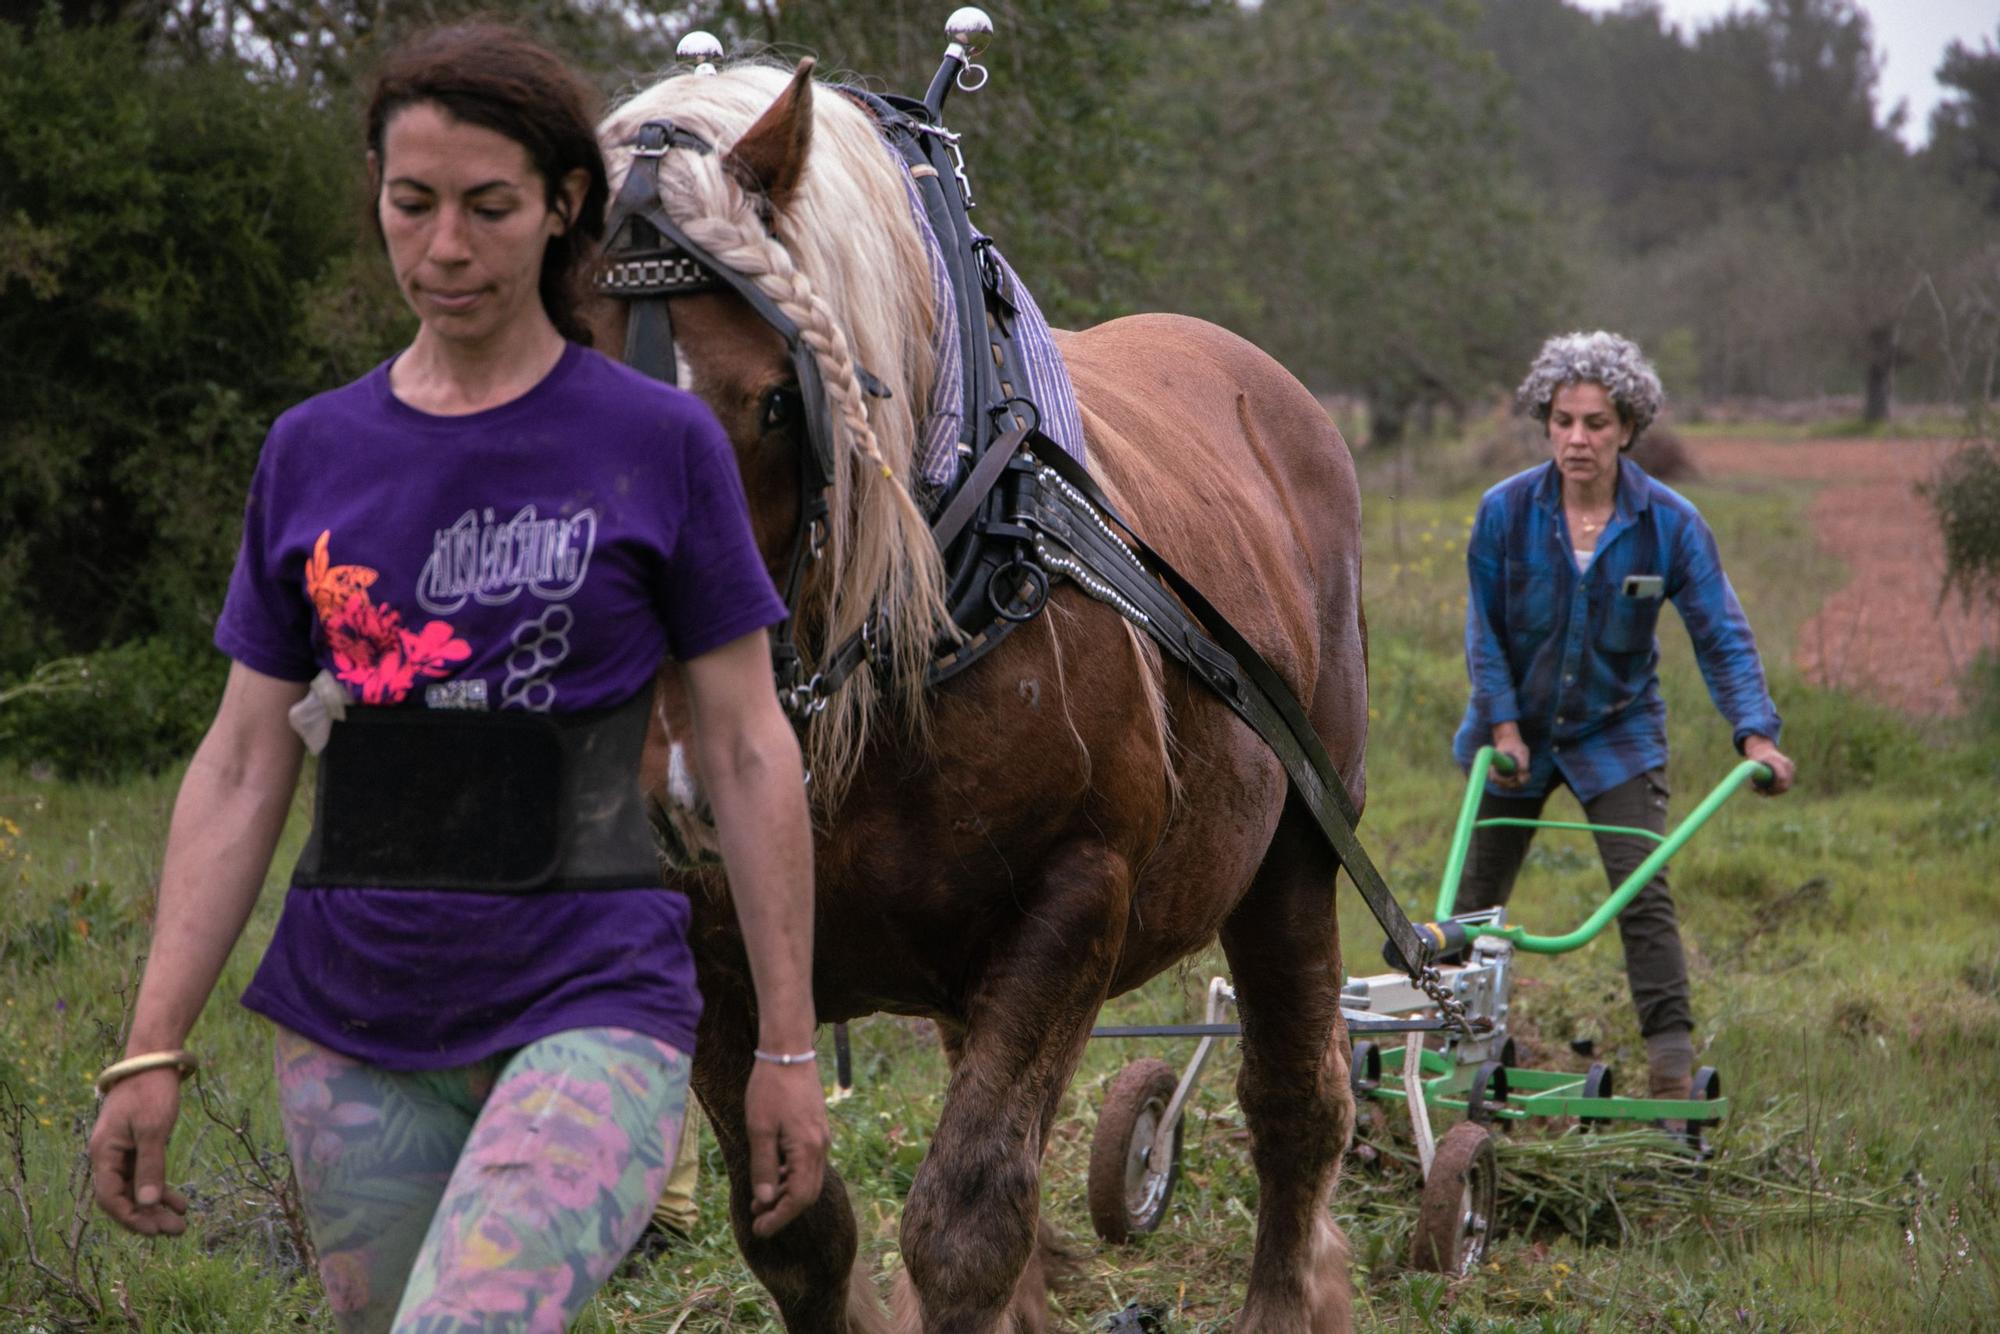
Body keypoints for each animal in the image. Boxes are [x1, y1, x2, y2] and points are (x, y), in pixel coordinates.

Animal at [584, 62, 1368, 1334]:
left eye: (773, 403)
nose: (678, 775)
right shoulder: (710, 948)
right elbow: (795, 1232)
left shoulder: (1074, 895)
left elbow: (966, 1222)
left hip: (1296, 845)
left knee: (1295, 1101)